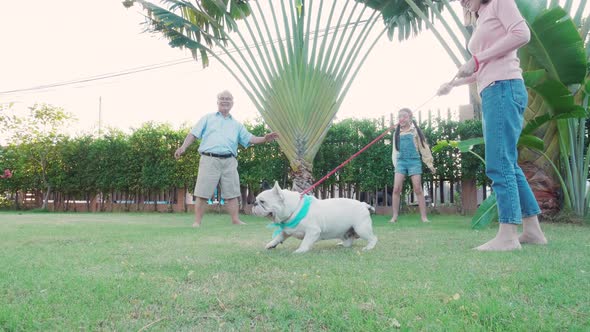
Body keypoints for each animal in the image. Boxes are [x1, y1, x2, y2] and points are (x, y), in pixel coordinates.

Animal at [251, 183, 380, 253]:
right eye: (257, 200)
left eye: (262, 201)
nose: (254, 203)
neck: (295, 209)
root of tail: (364, 204)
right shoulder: (287, 231)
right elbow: (278, 237)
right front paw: (271, 244)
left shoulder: (313, 231)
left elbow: (305, 241)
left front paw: (301, 250)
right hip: (346, 232)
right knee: (349, 241)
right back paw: (342, 244)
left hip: (361, 228)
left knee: (373, 238)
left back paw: (369, 247)